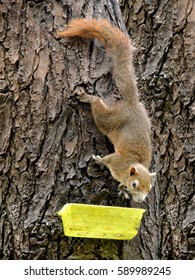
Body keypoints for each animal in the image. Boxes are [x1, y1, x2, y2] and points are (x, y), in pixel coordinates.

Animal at [57, 18, 156, 203]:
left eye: (150, 188)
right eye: (135, 184)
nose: (140, 201)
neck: (131, 167)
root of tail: (132, 104)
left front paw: (122, 189)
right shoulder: (117, 160)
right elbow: (106, 160)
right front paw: (98, 160)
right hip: (108, 120)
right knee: (98, 106)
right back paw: (88, 98)